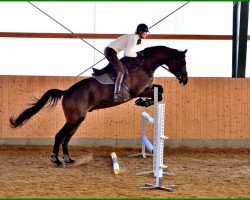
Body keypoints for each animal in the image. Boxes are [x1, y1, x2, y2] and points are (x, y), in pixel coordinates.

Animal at [9, 45, 188, 166]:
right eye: (181, 61)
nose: (185, 80)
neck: (145, 64)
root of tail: (67, 92)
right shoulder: (138, 90)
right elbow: (158, 91)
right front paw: (143, 101)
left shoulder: (146, 89)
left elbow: (160, 89)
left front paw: (143, 102)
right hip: (74, 119)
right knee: (60, 136)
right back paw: (56, 160)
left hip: (78, 120)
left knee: (66, 138)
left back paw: (69, 159)